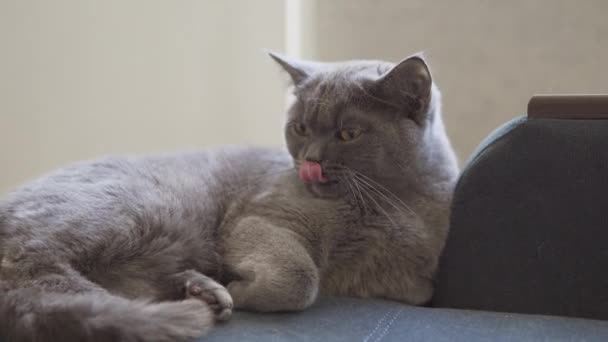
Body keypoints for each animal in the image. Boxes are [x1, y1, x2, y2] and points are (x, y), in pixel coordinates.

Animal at [0, 52, 456, 340]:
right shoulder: (262, 217)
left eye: (348, 133)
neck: (392, 205)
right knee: (41, 278)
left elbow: (418, 291)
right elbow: (300, 279)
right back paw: (194, 301)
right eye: (300, 128)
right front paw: (242, 288)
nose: (310, 160)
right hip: (139, 208)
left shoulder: (412, 279)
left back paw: (198, 290)